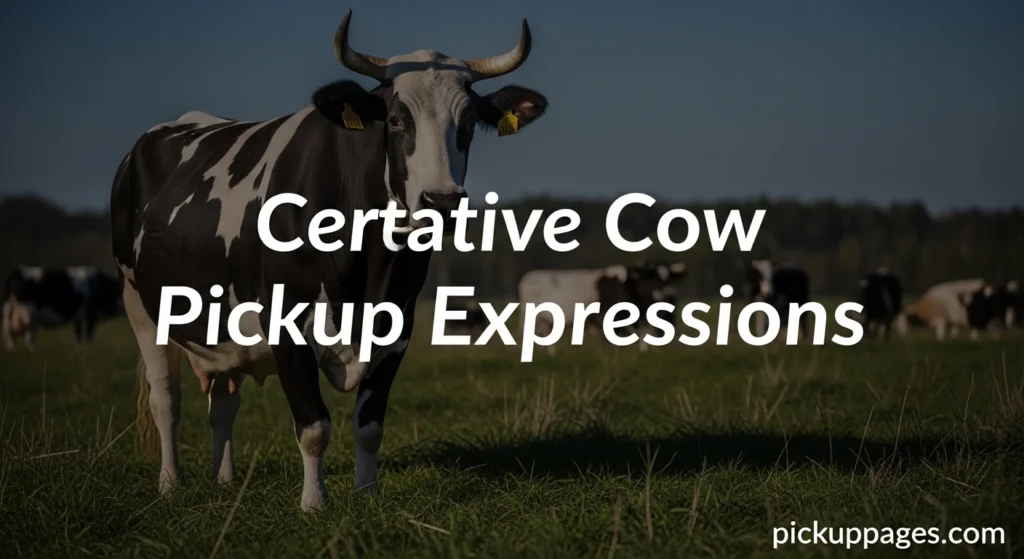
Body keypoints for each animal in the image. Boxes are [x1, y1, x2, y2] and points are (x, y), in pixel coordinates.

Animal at [110, 10, 548, 512]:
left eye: (470, 122)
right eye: (395, 120)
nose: (442, 201)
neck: (369, 264)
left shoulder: (396, 332)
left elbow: (370, 425)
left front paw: (367, 493)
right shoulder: (285, 327)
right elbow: (314, 426)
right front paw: (314, 502)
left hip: (220, 328)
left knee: (223, 403)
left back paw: (224, 479)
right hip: (139, 305)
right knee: (165, 400)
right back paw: (169, 482)